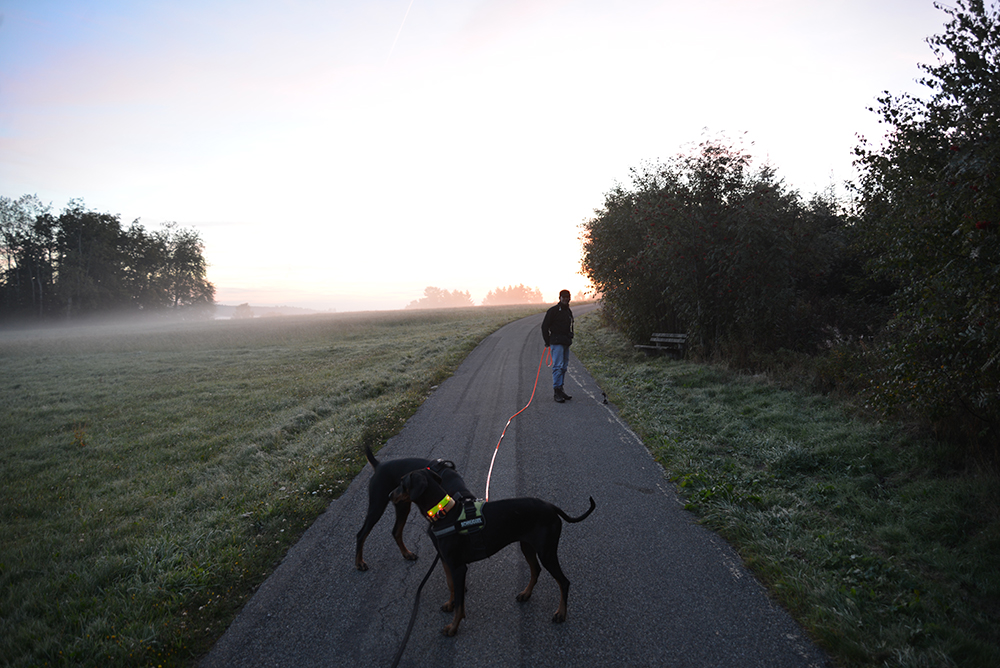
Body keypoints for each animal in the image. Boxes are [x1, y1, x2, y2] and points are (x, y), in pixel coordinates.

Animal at [391, 467, 595, 636]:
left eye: (402, 483)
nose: (390, 494)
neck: (444, 514)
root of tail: (551, 507)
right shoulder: (446, 560)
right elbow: (451, 586)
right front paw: (450, 603)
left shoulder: (459, 567)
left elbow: (460, 603)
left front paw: (453, 627)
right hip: (526, 546)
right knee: (536, 570)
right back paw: (526, 594)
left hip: (547, 552)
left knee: (564, 582)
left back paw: (561, 613)